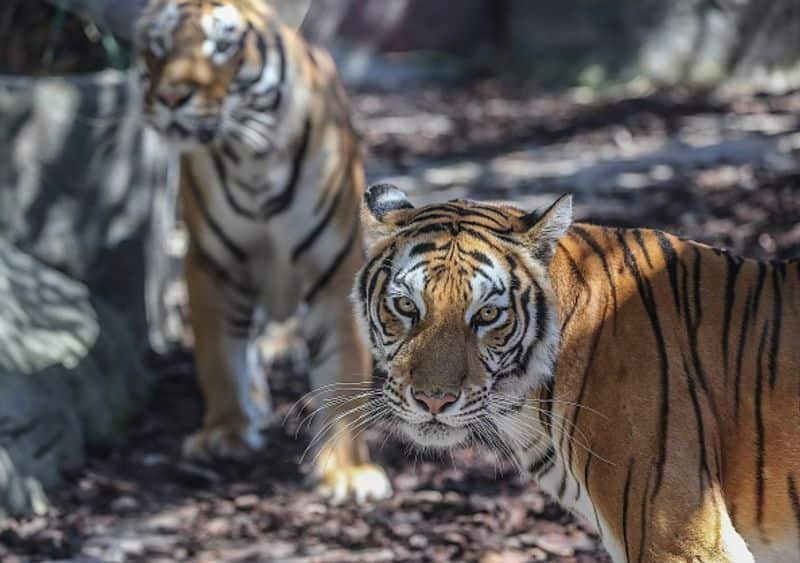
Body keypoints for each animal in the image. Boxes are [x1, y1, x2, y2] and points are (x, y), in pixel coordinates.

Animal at [134, 0, 390, 502]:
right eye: (158, 46)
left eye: (221, 45)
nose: (171, 98)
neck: (249, 159)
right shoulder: (212, 264)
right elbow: (219, 356)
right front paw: (225, 433)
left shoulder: (335, 266)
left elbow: (344, 362)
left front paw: (347, 472)